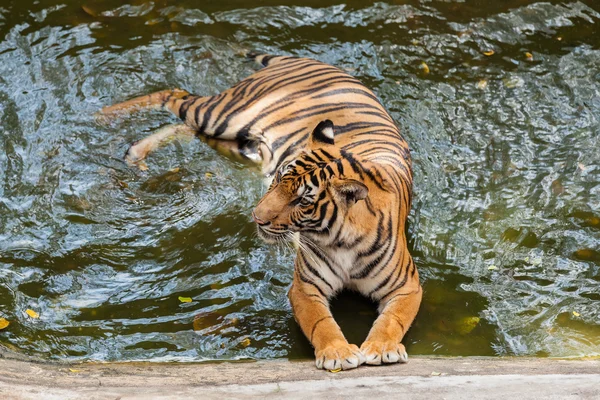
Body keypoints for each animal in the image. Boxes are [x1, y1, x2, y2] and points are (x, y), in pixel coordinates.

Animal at [101, 51, 422, 370]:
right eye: (279, 179)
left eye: (302, 201)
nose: (256, 217)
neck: (342, 240)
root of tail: (303, 59)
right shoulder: (305, 287)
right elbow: (321, 323)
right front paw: (337, 353)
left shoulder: (407, 286)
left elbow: (393, 319)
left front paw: (382, 347)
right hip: (224, 115)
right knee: (174, 94)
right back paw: (103, 115)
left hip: (238, 144)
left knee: (185, 122)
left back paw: (134, 152)